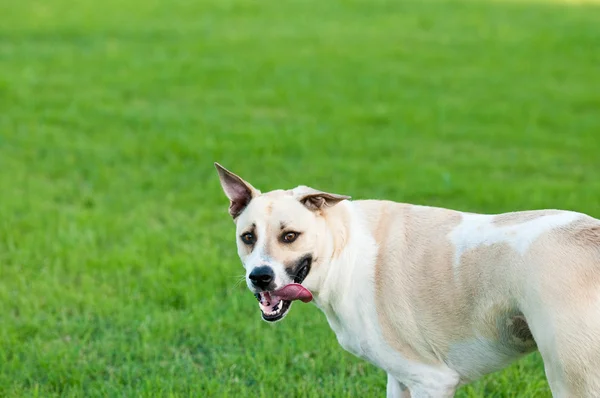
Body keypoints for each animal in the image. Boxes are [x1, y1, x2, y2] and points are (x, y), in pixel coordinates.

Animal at [214, 163, 600, 396]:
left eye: (290, 236)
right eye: (248, 237)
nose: (260, 278)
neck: (344, 248)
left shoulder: (432, 381)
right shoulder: (400, 378)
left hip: (571, 378)